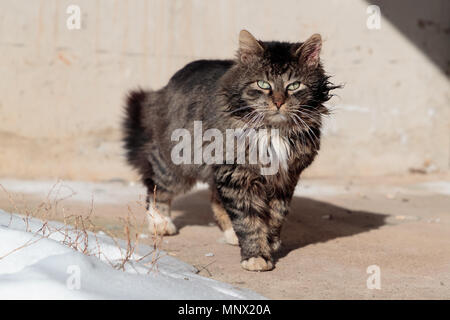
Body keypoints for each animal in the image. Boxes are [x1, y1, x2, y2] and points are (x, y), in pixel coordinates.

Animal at [121, 30, 340, 272]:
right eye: (263, 84)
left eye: (294, 86)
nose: (278, 102)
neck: (274, 130)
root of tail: (166, 87)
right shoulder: (236, 174)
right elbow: (248, 219)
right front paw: (256, 255)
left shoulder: (285, 178)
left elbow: (275, 216)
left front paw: (270, 242)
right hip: (178, 165)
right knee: (156, 186)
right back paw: (161, 223)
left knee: (215, 200)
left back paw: (231, 235)